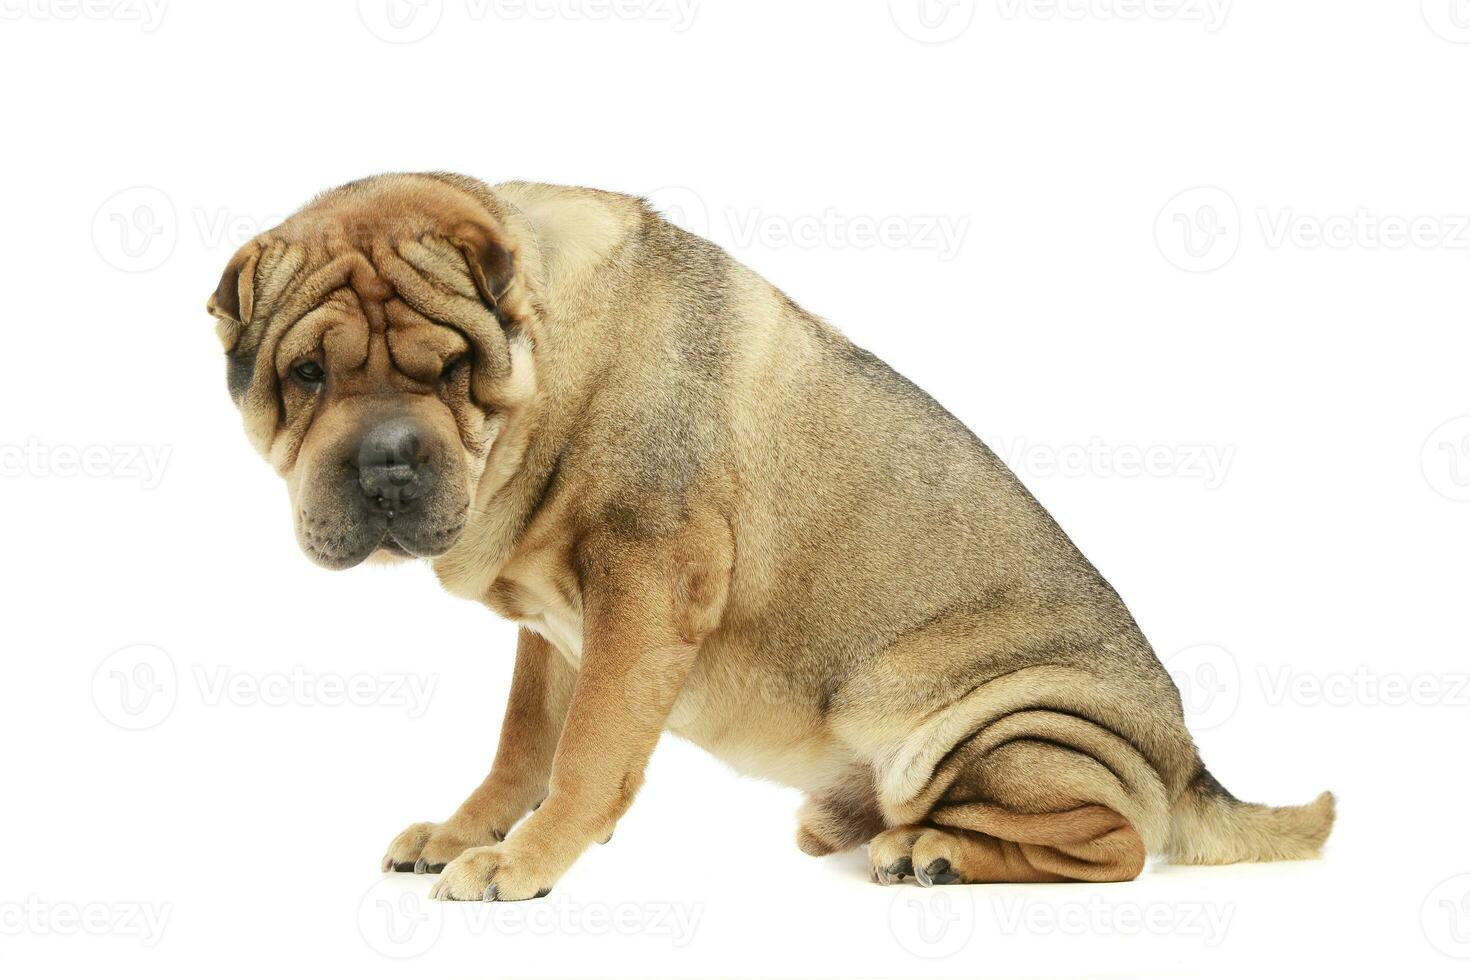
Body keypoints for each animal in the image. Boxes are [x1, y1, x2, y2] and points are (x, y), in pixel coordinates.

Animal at [210, 172, 1346, 899]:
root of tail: (1190, 766)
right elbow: (524, 743)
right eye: (306, 375)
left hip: (993, 725)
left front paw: (524, 861)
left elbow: (586, 751)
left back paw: (930, 851)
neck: (550, 375)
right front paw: (465, 833)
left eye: (450, 371)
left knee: (1111, 844)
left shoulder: (646, 583)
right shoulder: (555, 629)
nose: (388, 460)